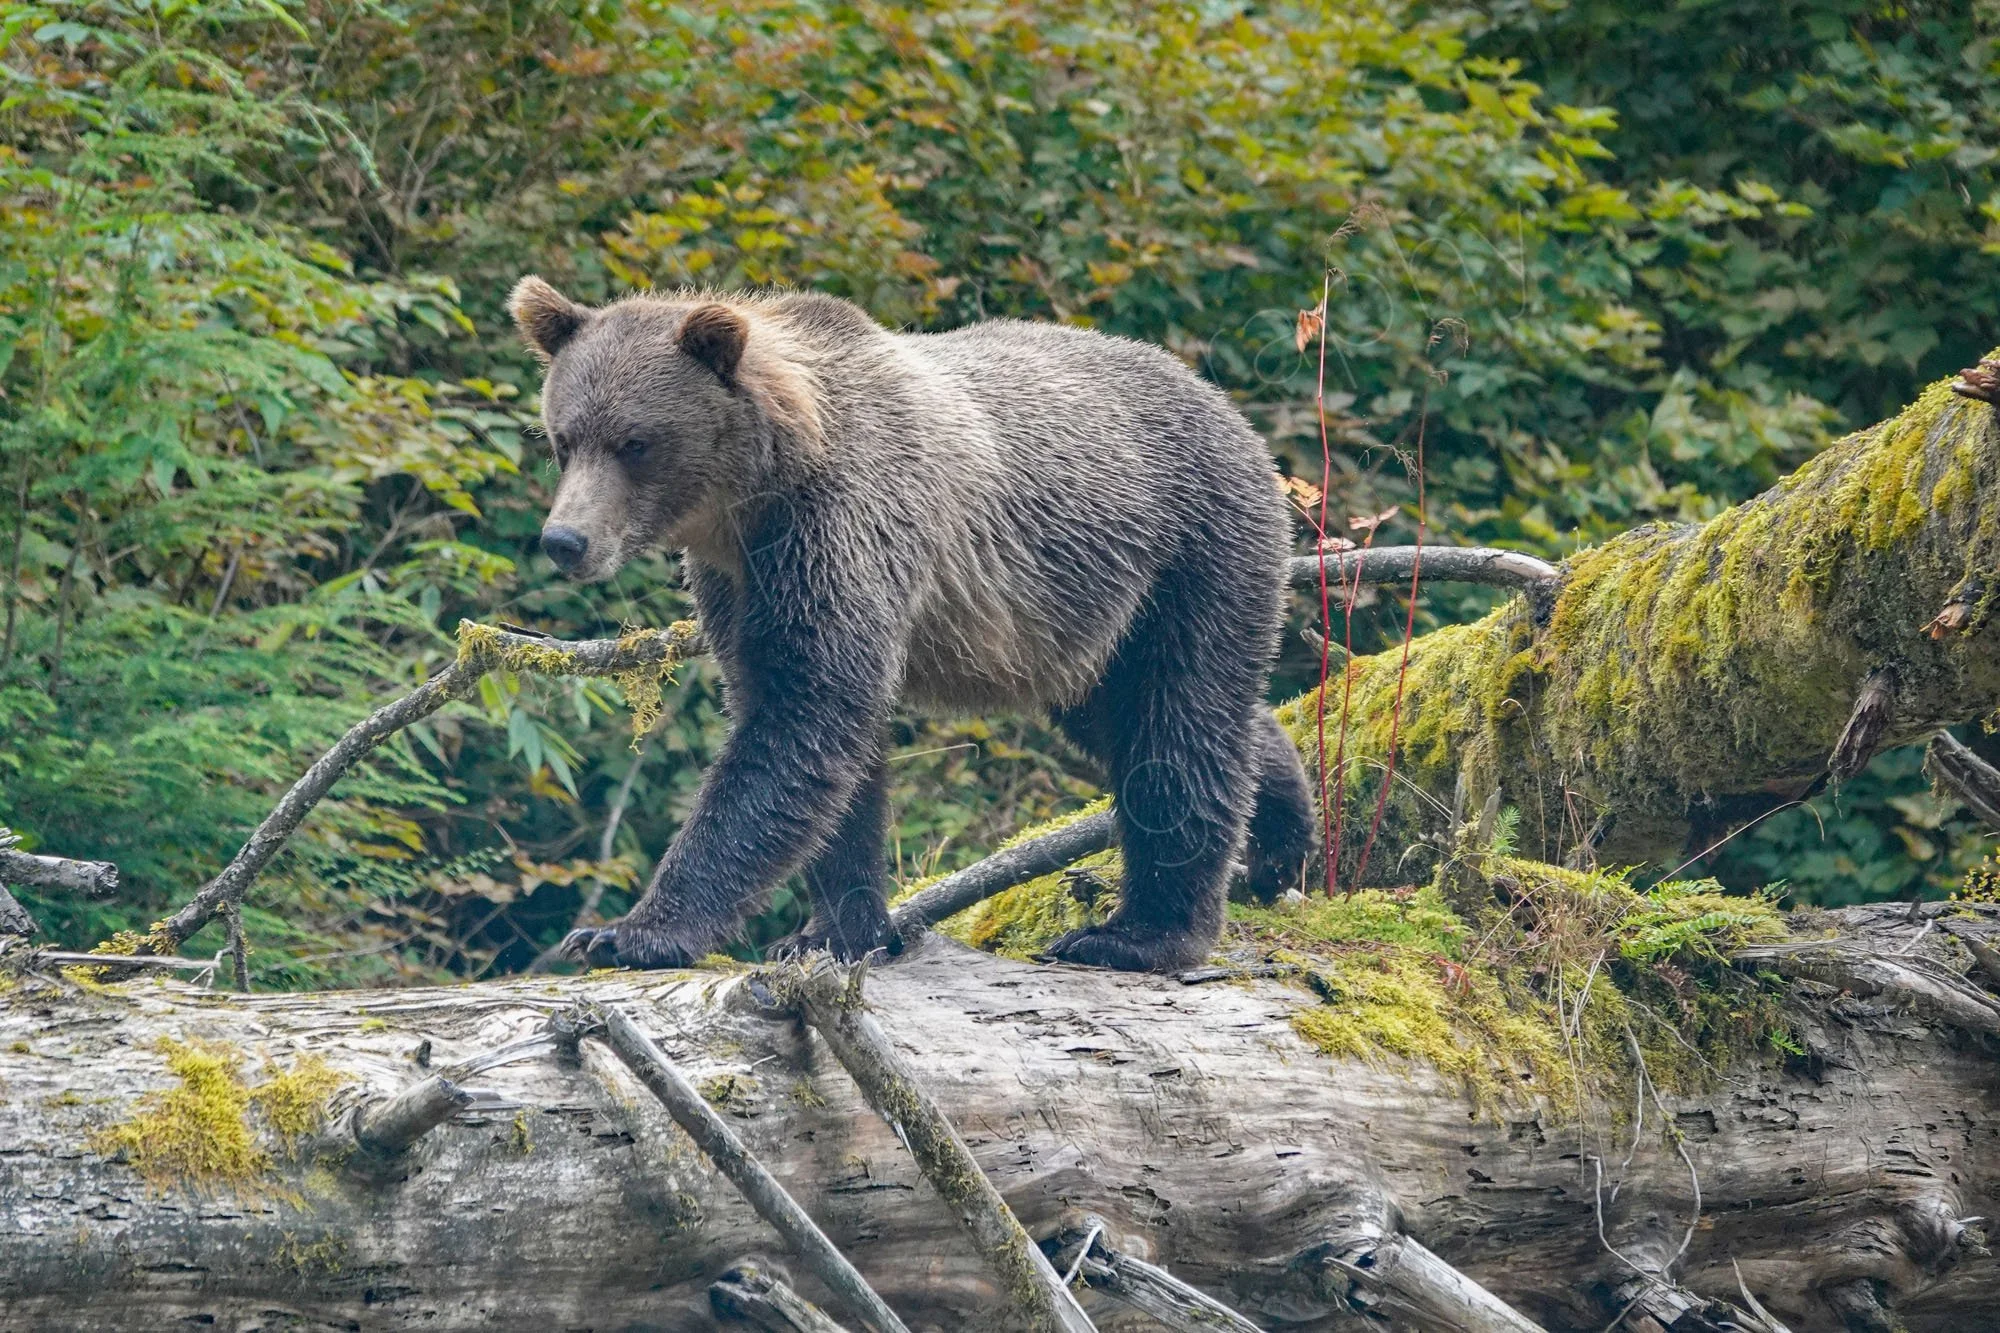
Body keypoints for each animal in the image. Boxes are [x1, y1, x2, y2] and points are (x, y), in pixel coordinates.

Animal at [508, 276, 1315, 972]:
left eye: (634, 443)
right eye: (563, 438)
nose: (565, 540)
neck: (754, 498)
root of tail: (1226, 405)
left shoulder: (842, 530)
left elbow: (802, 718)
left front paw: (628, 931)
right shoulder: (740, 585)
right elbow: (816, 735)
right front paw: (833, 931)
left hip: (1187, 550)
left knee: (1175, 717)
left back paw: (1140, 933)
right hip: (1086, 617)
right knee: (1138, 717)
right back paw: (1280, 836)